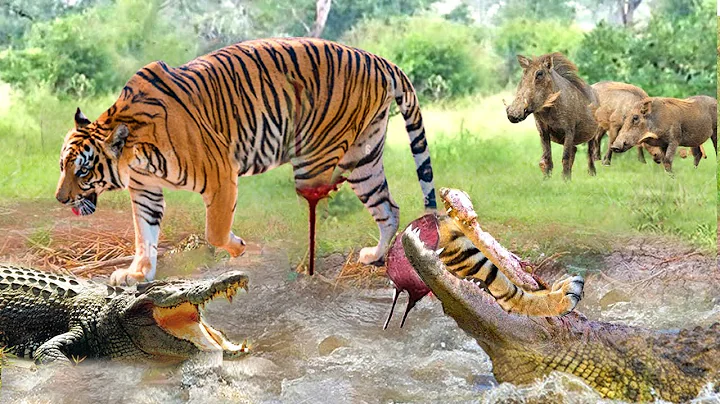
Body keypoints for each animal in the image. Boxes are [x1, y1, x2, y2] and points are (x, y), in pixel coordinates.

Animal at [55, 38, 436, 285]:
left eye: (83, 170)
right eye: (62, 167)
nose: (60, 198)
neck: (135, 154)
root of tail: (378, 59)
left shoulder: (220, 172)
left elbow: (215, 229)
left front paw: (237, 250)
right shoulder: (145, 190)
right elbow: (144, 235)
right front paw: (138, 274)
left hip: (317, 158)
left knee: (319, 212)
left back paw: (304, 267)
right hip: (363, 158)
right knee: (389, 208)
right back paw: (377, 257)